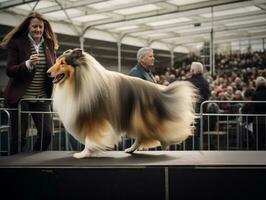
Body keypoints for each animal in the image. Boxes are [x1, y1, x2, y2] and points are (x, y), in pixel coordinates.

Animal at [47, 48, 197, 158]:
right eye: (57, 61)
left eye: (62, 63)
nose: (48, 73)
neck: (79, 80)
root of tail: (159, 90)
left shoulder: (94, 118)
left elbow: (90, 138)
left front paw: (83, 153)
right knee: (142, 136)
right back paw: (130, 149)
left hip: (141, 118)